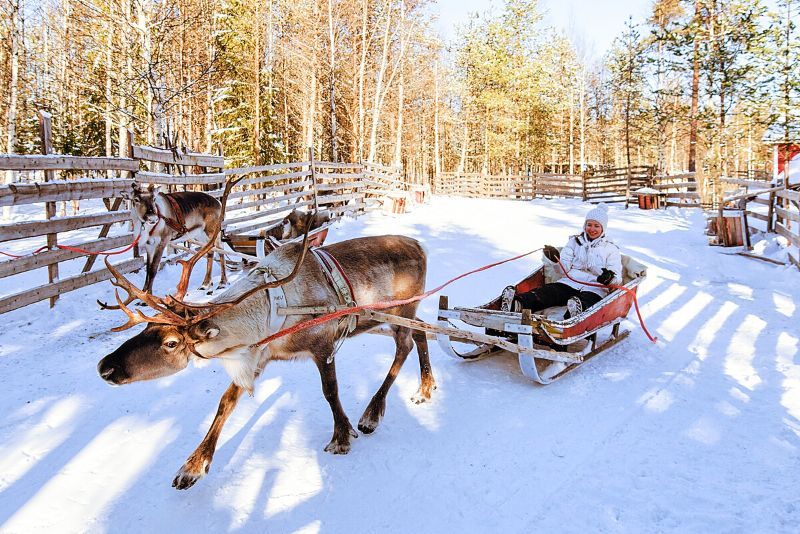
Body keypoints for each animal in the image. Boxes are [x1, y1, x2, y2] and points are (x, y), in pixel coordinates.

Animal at [96, 219, 436, 490]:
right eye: (146, 327)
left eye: (170, 343)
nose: (104, 367)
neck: (270, 310)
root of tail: (420, 245)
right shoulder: (257, 354)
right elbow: (225, 402)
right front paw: (193, 467)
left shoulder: (322, 344)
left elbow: (330, 391)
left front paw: (341, 436)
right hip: (390, 316)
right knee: (422, 329)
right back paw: (425, 387)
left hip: (400, 309)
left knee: (405, 345)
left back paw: (372, 414)